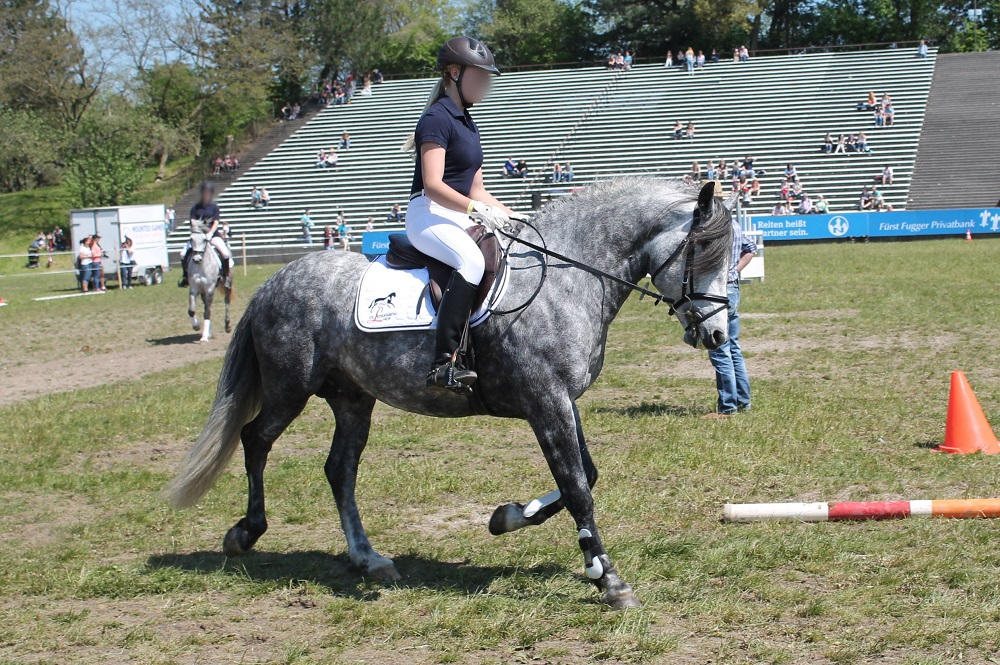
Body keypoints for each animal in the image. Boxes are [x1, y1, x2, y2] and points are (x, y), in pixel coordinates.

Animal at [168, 178, 734, 608]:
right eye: (703, 252)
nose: (716, 335)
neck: (568, 277)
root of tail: (276, 281)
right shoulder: (546, 401)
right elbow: (576, 487)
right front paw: (608, 580)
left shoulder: (562, 401)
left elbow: (585, 476)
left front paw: (506, 518)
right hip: (290, 389)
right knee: (255, 439)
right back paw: (246, 532)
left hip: (353, 399)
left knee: (339, 470)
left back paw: (368, 558)